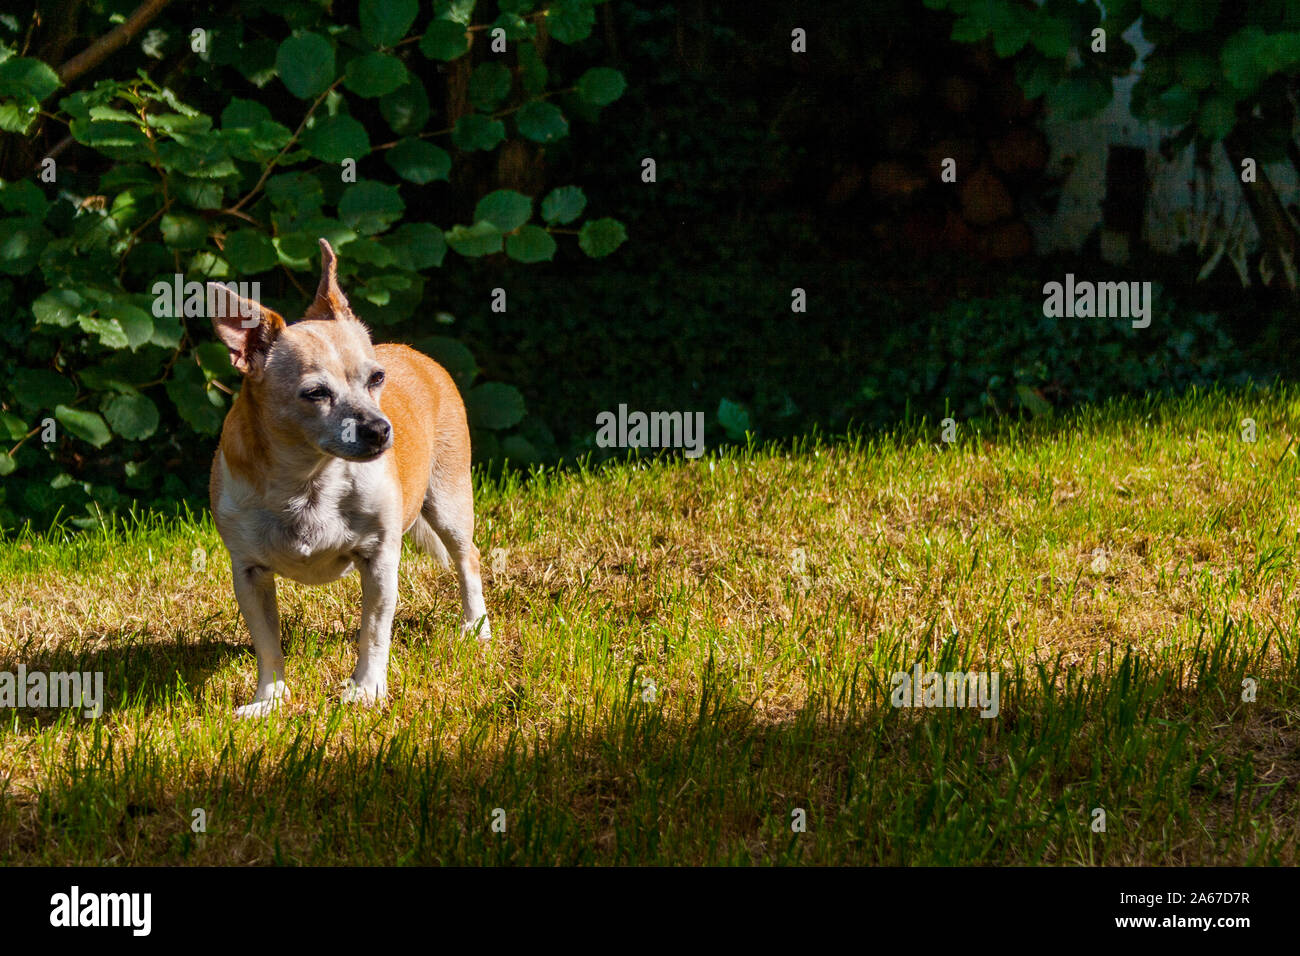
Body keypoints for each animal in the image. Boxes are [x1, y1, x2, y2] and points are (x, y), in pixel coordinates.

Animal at [205, 239, 488, 717]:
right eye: (316, 393)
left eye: (376, 379)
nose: (380, 428)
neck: (308, 481)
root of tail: (417, 354)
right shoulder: (248, 573)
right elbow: (268, 645)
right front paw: (269, 700)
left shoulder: (379, 560)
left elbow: (373, 632)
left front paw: (366, 689)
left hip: (449, 504)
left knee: (467, 558)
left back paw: (477, 626)